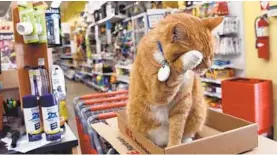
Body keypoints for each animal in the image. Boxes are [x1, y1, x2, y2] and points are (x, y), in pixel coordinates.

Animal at [126, 12, 221, 147]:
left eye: (211, 55)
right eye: (203, 58)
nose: (208, 66)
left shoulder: (182, 102)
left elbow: (177, 129)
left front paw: (174, 146)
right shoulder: (157, 93)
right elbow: (174, 70)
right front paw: (191, 56)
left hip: (198, 111)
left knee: (188, 132)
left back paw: (186, 141)